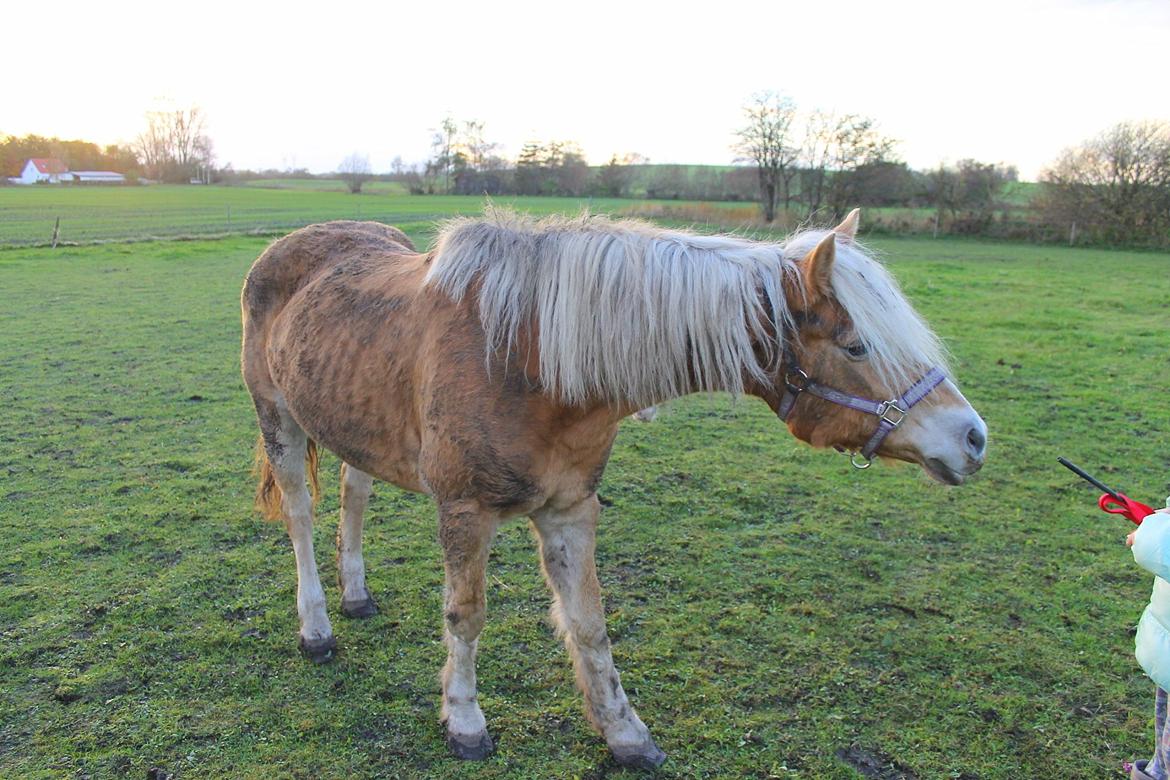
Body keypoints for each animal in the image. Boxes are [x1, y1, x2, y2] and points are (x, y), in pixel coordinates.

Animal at [239, 209, 987, 767]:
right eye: (858, 346)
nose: (972, 438)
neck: (529, 357)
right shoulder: (466, 512)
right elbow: (466, 617)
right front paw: (465, 722)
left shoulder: (571, 509)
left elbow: (590, 623)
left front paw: (625, 733)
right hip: (279, 420)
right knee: (301, 519)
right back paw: (317, 628)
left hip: (350, 422)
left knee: (353, 496)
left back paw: (357, 596)